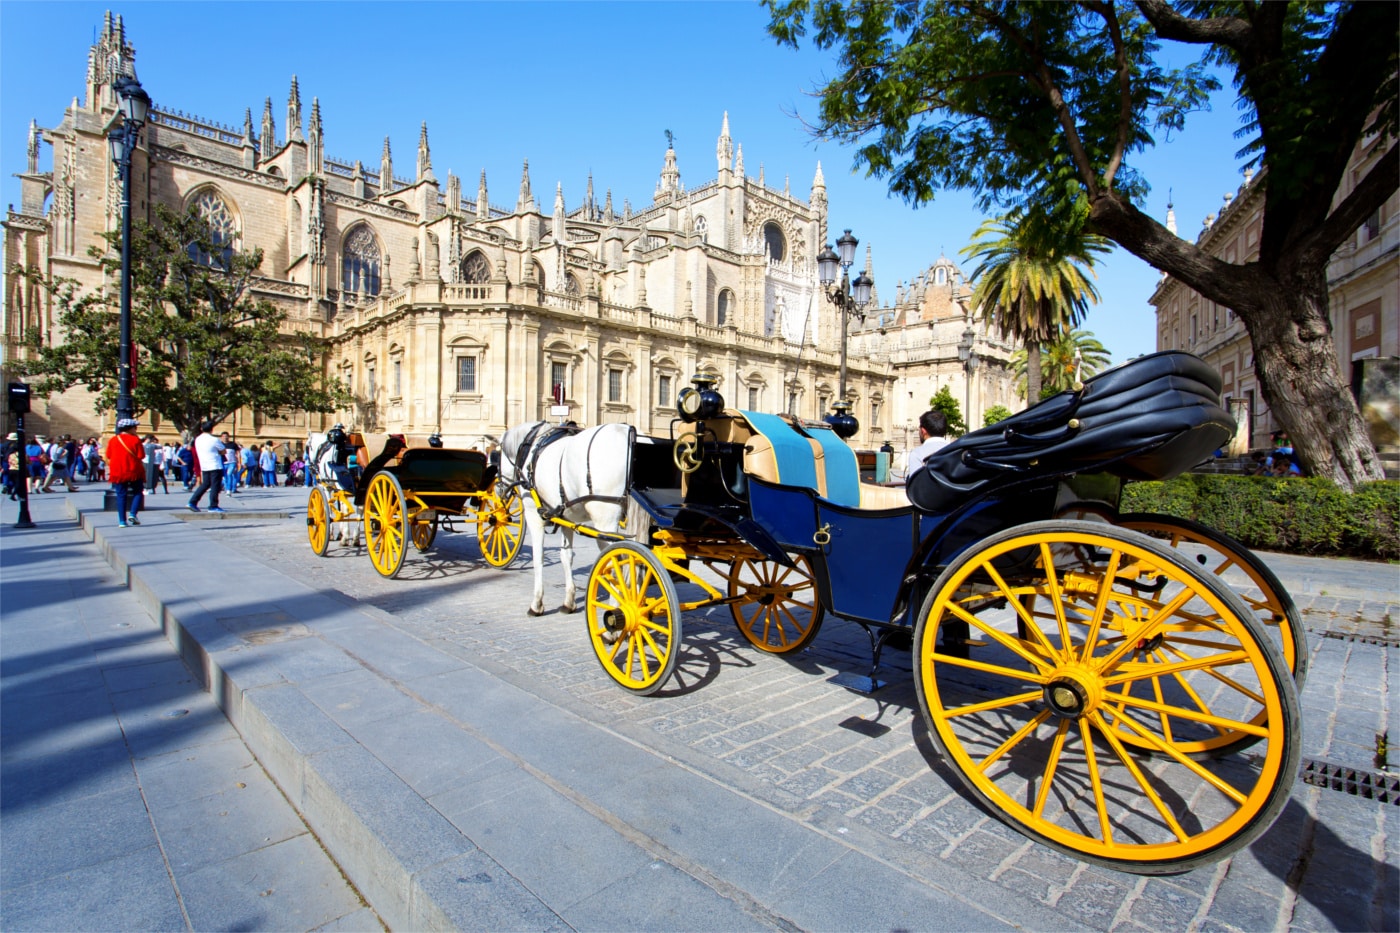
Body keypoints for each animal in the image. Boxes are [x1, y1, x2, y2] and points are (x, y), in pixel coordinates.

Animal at [501, 420, 646, 610]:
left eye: (494, 458)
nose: (500, 492)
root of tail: (629, 433)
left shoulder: (533, 516)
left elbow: (538, 557)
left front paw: (537, 603)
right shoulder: (566, 519)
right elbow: (566, 557)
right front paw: (569, 600)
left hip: (605, 522)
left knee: (616, 563)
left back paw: (618, 607)